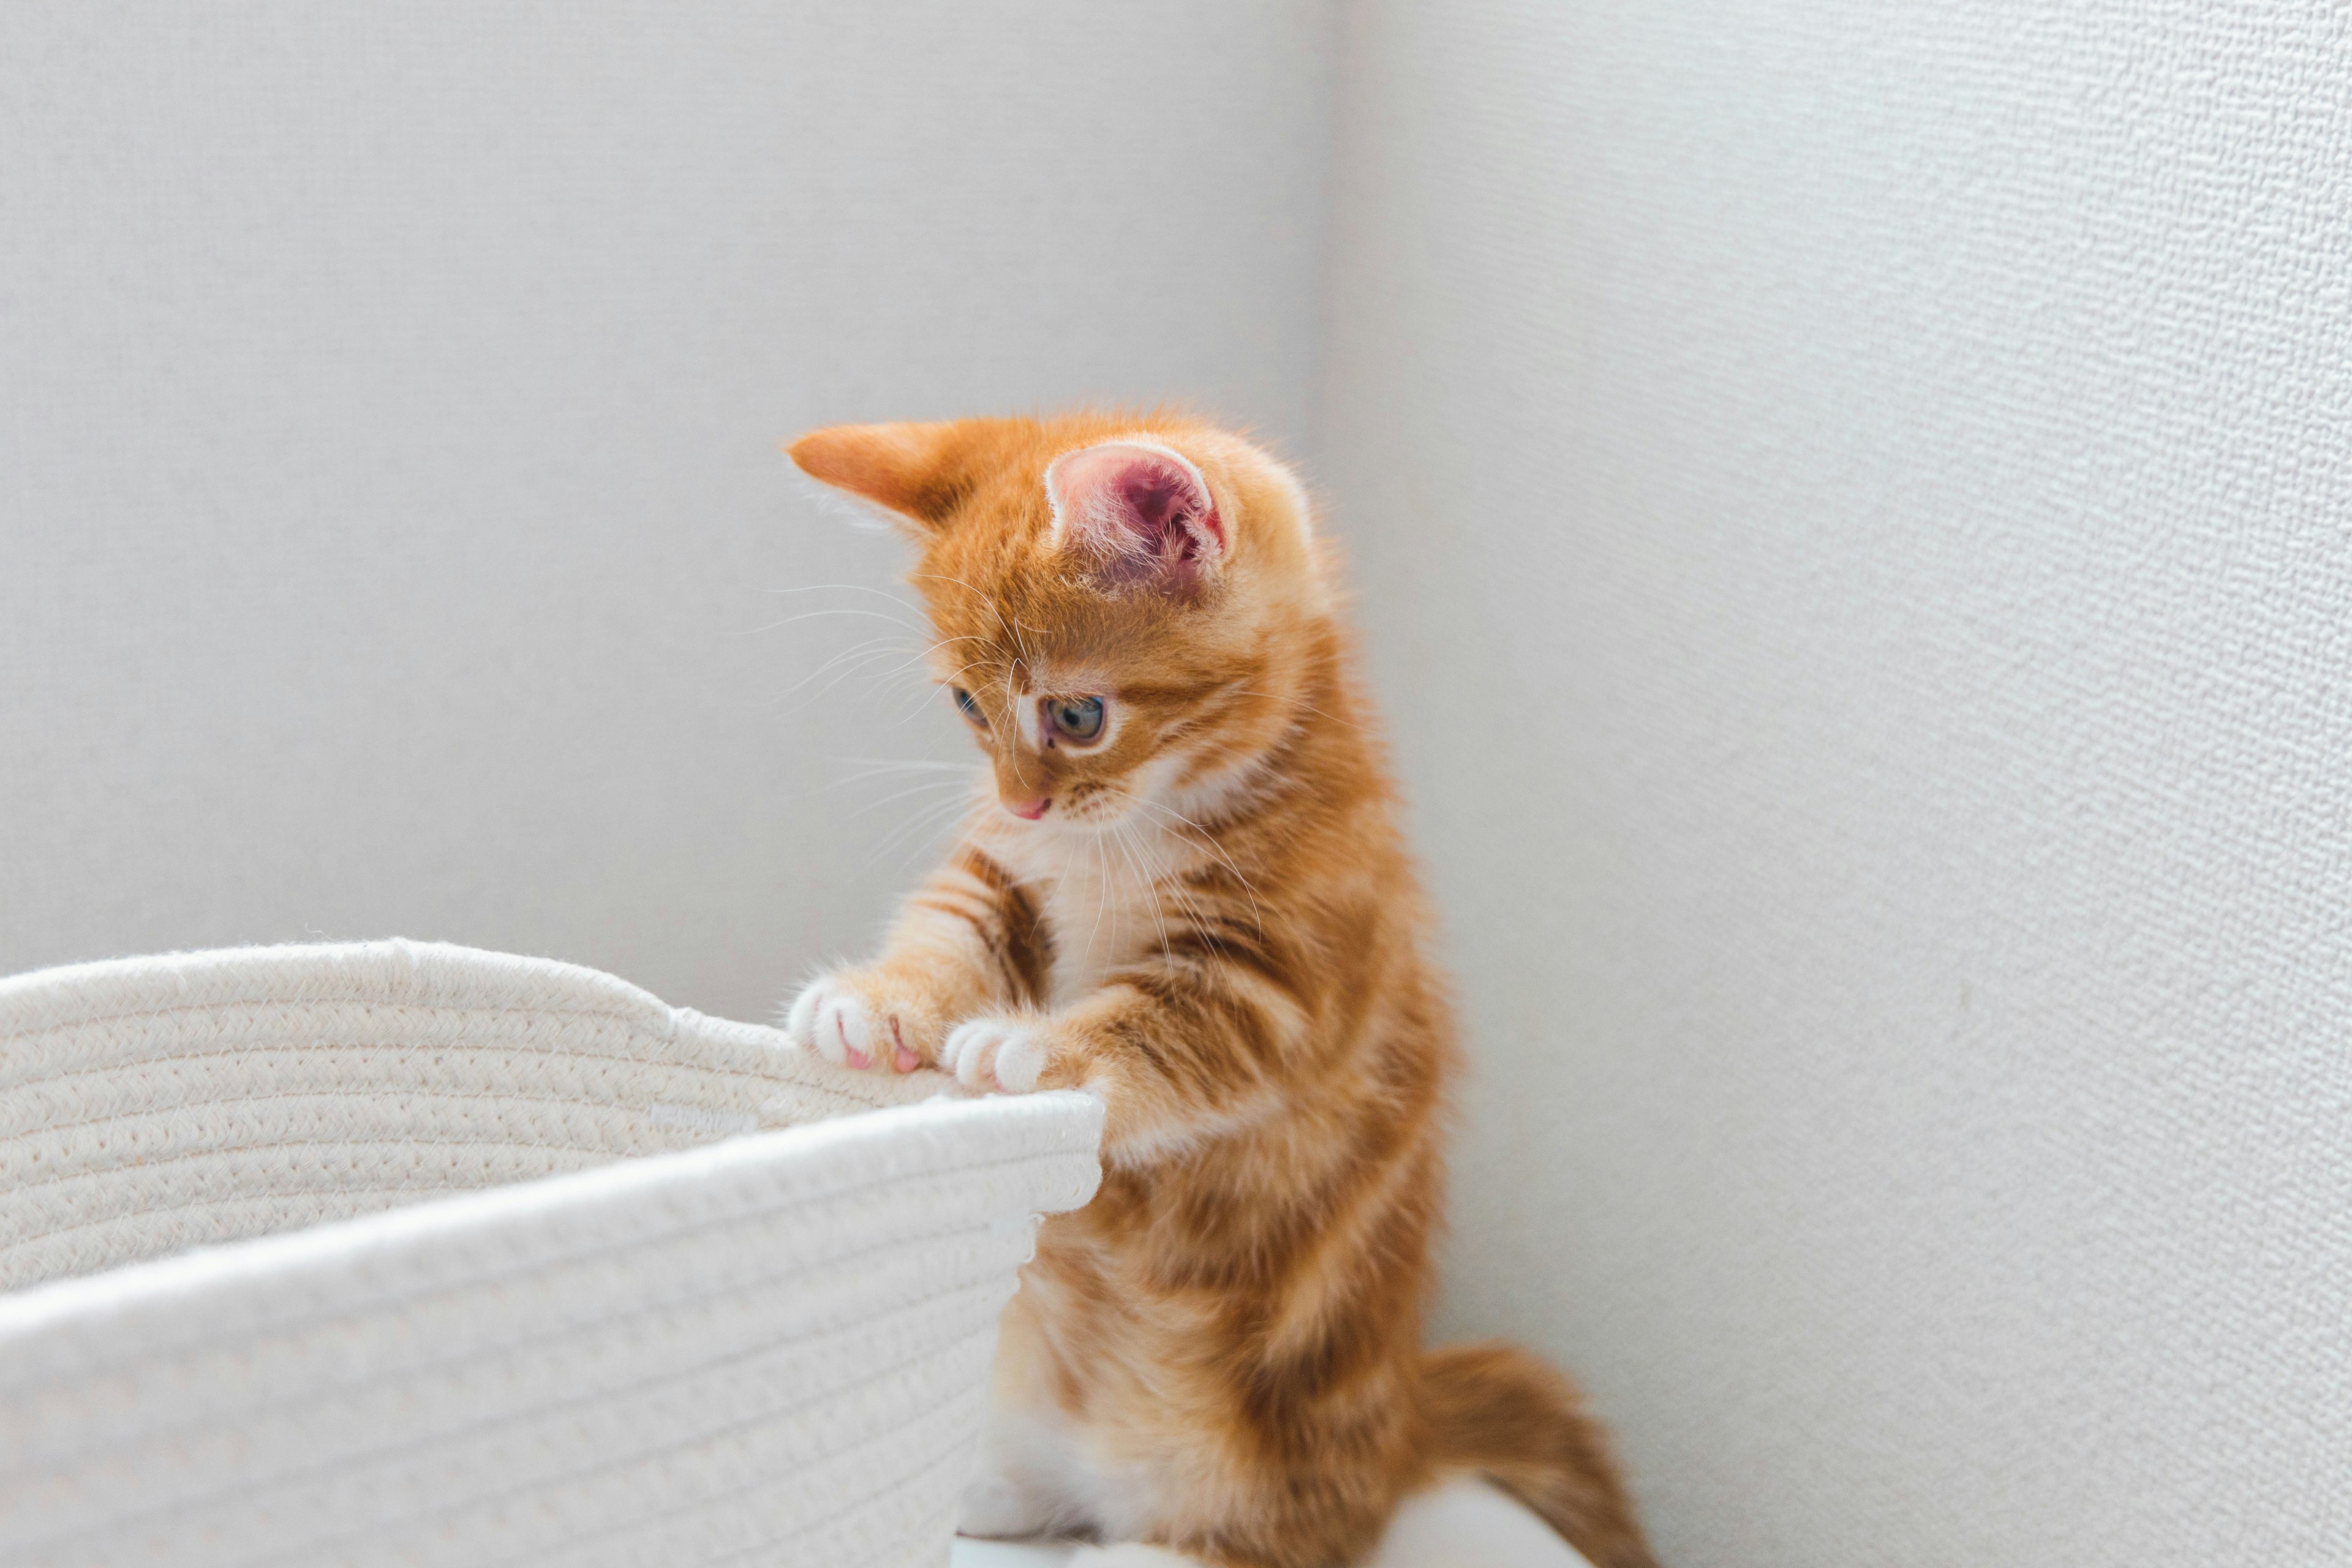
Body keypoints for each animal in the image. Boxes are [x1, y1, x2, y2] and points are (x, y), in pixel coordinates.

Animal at [790, 411, 1656, 1561]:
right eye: (970, 706)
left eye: (1076, 715)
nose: (1021, 802)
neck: (1125, 834)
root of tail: (1402, 1430)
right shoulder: (1002, 875)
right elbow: (953, 923)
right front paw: (879, 999)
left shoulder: (1283, 980)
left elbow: (1173, 1031)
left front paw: (1040, 1046)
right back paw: (1002, 1492)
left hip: (1269, 1461)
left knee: (1263, 1541)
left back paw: (1129, 1551)